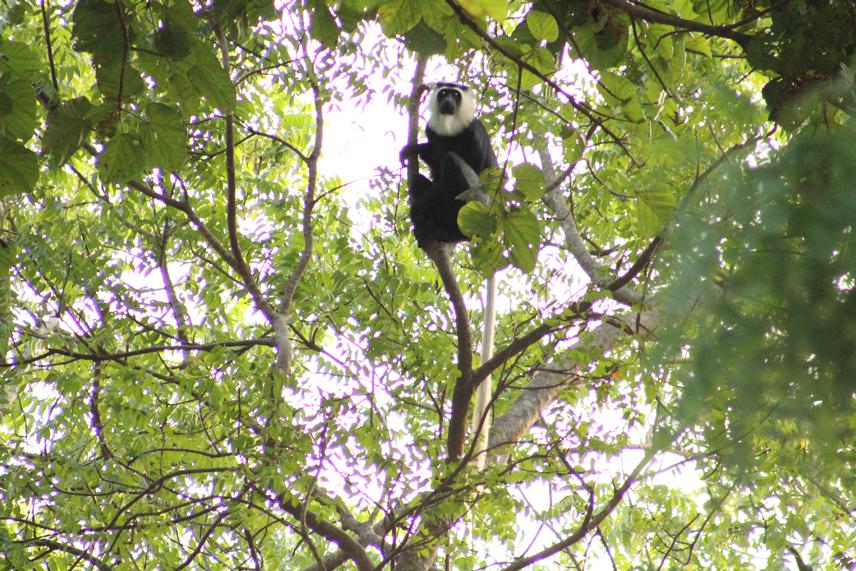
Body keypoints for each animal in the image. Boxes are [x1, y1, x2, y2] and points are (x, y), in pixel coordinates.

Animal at [400, 81, 498, 247]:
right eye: (444, 93)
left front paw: (419, 208)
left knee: (452, 162)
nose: (448, 102)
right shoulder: (432, 131)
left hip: (477, 201)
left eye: (456, 95)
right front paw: (413, 149)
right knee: (418, 181)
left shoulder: (473, 131)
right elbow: (434, 158)